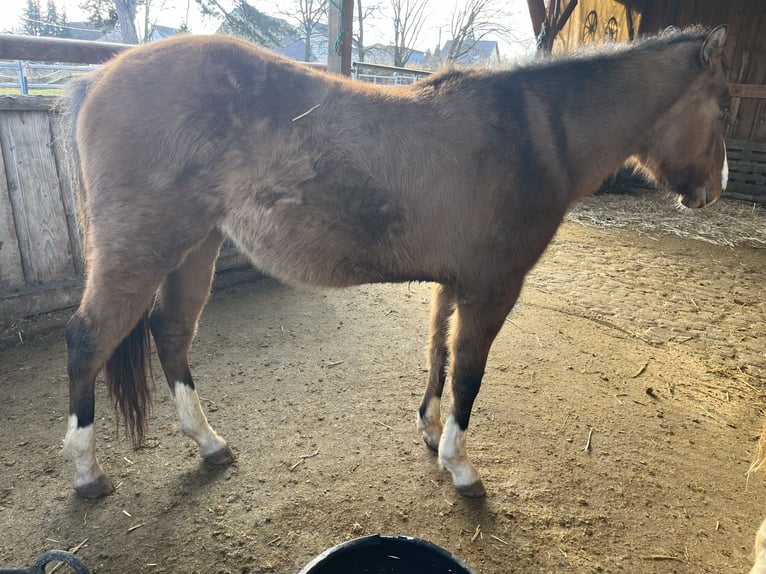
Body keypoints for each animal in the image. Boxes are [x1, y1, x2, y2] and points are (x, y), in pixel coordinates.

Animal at [59, 25, 730, 499]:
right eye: (722, 107)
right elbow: (469, 375)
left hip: (194, 247)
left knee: (171, 333)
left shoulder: (453, 283)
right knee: (88, 339)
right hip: (142, 251)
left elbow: (437, 355)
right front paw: (460, 466)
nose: (716, 190)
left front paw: (431, 432)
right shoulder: (493, 288)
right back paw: (87, 472)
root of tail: (100, 77)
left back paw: (208, 442)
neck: (533, 135)